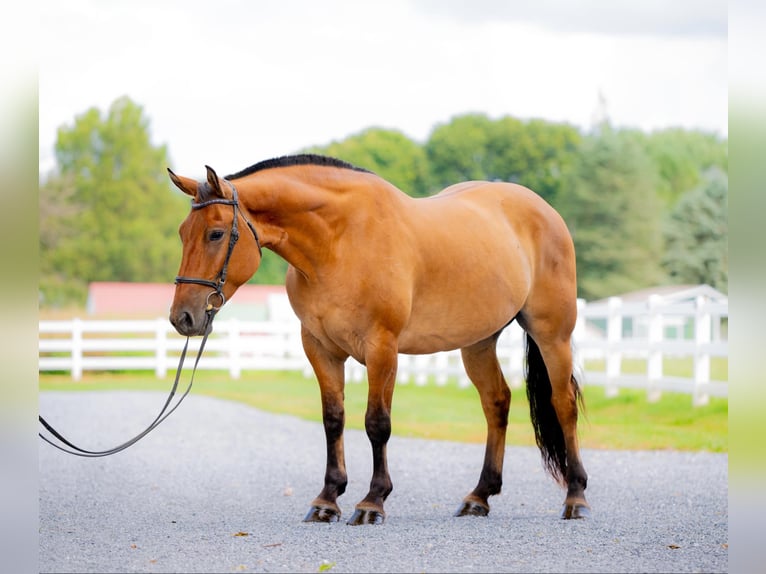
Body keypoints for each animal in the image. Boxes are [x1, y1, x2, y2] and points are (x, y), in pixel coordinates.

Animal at [168, 153, 592, 528]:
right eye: (182, 233)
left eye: (215, 234)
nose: (182, 318)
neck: (340, 241)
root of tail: (544, 210)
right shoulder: (319, 348)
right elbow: (333, 420)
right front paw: (327, 500)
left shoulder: (382, 348)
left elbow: (377, 423)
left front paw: (372, 502)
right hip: (478, 342)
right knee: (496, 402)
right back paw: (479, 497)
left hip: (552, 334)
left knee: (563, 404)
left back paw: (576, 497)